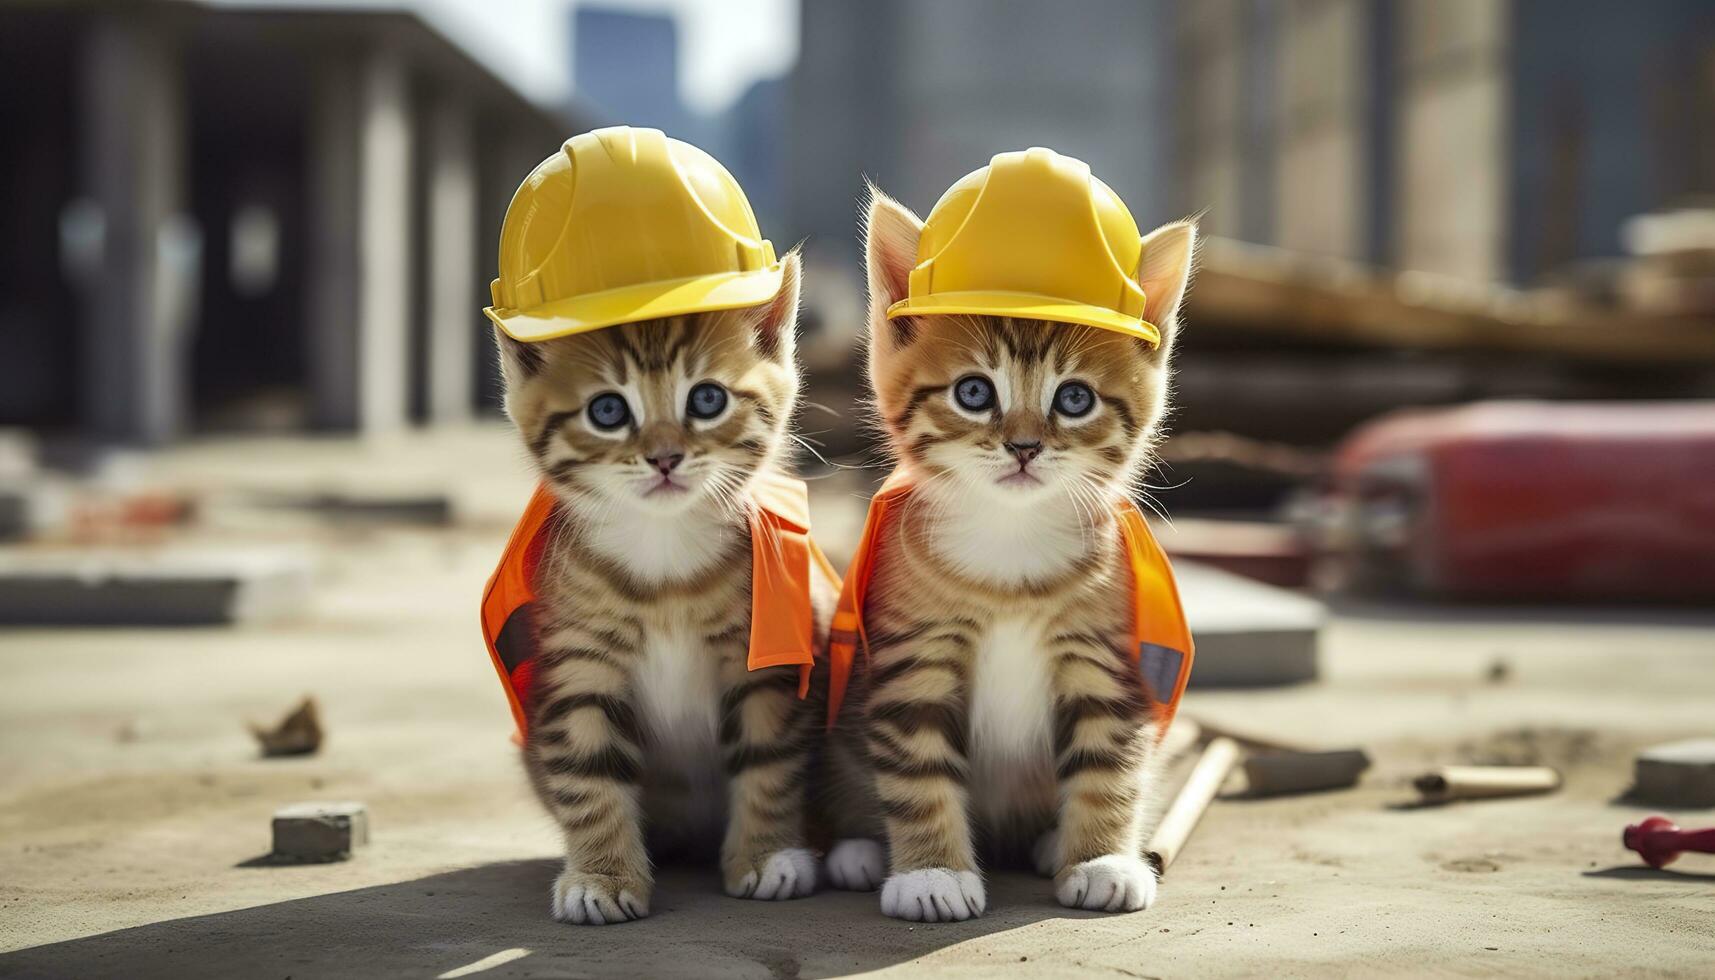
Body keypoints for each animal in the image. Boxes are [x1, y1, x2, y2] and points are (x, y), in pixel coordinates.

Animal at [493, 255, 833, 926]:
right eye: (607, 411)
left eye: (707, 399)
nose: (666, 458)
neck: (666, 564)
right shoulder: (580, 666)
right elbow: (590, 772)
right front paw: (601, 875)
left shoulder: (766, 662)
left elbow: (768, 759)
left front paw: (766, 855)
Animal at [819, 189, 1200, 919]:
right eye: (973, 392)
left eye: (1074, 398)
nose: (1024, 447)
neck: (1010, 547)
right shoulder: (913, 655)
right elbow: (917, 769)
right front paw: (932, 874)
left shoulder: (1106, 653)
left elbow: (1110, 762)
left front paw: (1102, 859)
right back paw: (858, 847)